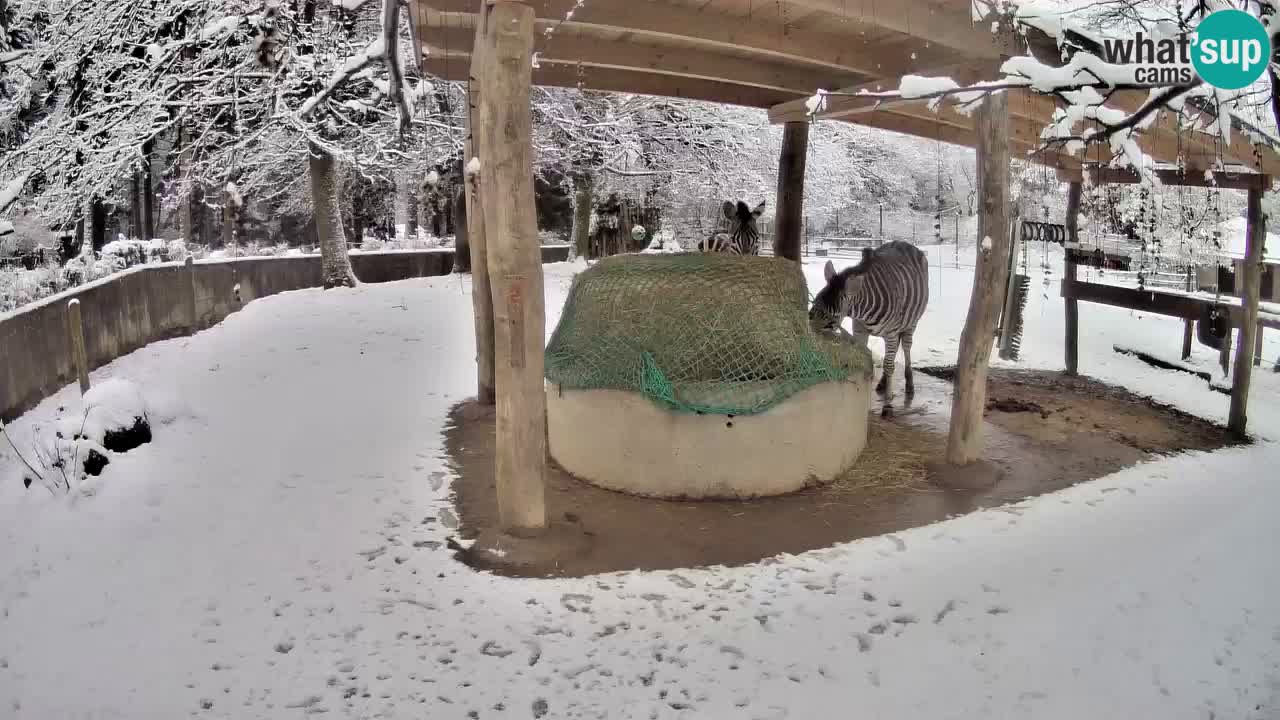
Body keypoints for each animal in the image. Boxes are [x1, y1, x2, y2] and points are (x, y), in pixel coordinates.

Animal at [808, 239, 931, 415]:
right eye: (812, 310)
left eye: (832, 318)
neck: (863, 310)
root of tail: (905, 243)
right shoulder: (859, 330)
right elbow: (867, 357)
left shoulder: (891, 333)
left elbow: (889, 365)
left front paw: (887, 405)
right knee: (894, 353)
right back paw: (882, 383)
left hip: (911, 323)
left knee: (906, 348)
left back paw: (909, 384)